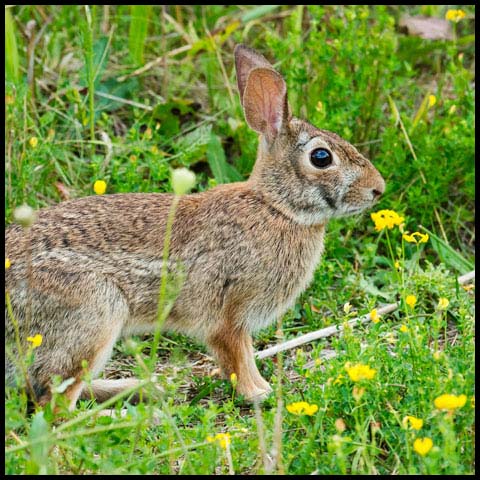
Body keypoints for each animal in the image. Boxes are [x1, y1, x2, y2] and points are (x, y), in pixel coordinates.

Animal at [4, 44, 386, 408]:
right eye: (321, 157)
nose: (377, 188)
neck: (277, 207)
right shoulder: (229, 315)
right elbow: (238, 359)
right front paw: (260, 394)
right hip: (95, 313)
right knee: (53, 405)